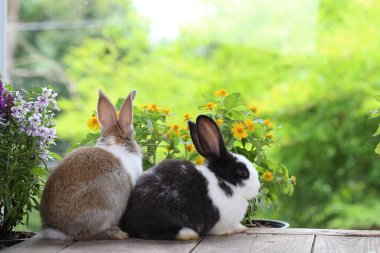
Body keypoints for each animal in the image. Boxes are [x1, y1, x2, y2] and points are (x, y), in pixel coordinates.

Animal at [120, 115, 262, 240]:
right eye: (242, 172)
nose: (258, 187)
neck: (222, 181)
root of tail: (128, 220)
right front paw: (229, 231)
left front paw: (240, 227)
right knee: (150, 233)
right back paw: (188, 234)